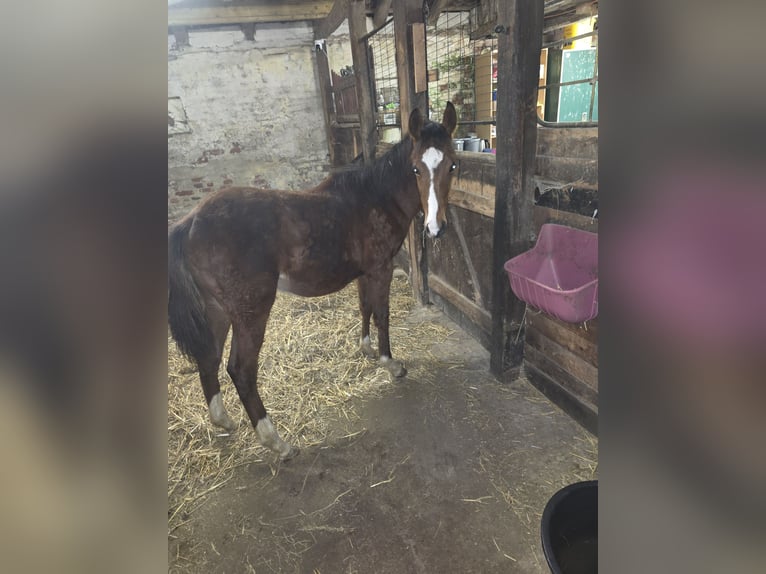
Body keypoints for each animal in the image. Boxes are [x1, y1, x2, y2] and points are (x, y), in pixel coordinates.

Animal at [168, 103, 457, 460]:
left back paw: (223, 420)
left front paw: (366, 349)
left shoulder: (365, 272)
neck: (374, 198)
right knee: (241, 370)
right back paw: (276, 441)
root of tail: (191, 222)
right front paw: (391, 364)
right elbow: (382, 315)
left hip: (217, 309)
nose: (435, 227)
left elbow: (364, 308)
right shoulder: (381, 269)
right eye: (416, 169)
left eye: (452, 165)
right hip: (250, 312)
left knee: (209, 358)